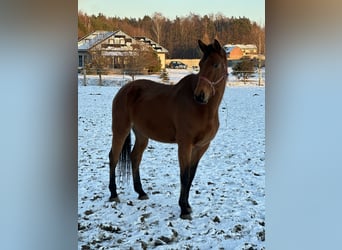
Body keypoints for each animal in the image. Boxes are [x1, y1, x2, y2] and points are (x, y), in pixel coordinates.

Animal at [108, 39, 228, 219]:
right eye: (201, 64)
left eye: (216, 65)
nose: (199, 95)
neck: (203, 109)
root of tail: (124, 89)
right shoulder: (185, 145)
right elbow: (184, 176)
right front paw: (183, 209)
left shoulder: (201, 147)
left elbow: (191, 176)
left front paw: (187, 206)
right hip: (120, 130)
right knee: (113, 158)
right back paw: (114, 194)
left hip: (142, 135)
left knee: (135, 157)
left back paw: (141, 192)